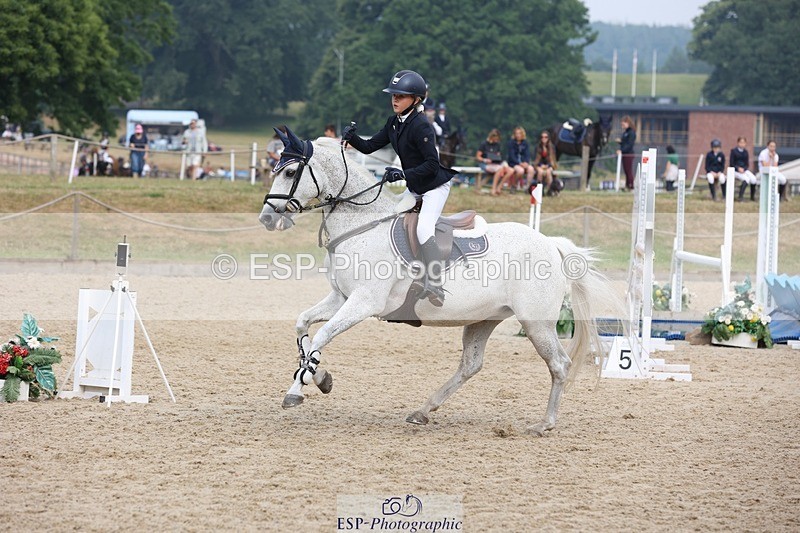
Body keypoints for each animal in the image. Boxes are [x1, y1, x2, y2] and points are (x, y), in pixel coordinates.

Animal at [259, 126, 616, 435]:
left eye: (290, 173)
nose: (266, 218)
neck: (362, 224)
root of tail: (551, 244)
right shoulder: (341, 297)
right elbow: (303, 325)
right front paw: (318, 376)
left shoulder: (363, 302)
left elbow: (322, 336)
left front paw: (299, 389)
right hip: (484, 319)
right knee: (471, 365)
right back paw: (423, 410)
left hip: (536, 322)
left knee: (559, 363)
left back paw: (545, 424)